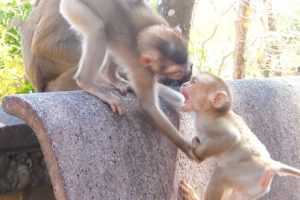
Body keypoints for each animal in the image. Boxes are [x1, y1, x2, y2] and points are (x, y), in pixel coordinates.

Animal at [59, 0, 198, 159]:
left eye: (185, 63)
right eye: (176, 71)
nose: (185, 72)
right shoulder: (142, 71)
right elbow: (148, 106)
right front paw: (187, 147)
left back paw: (111, 77)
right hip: (70, 7)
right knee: (98, 28)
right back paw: (86, 81)